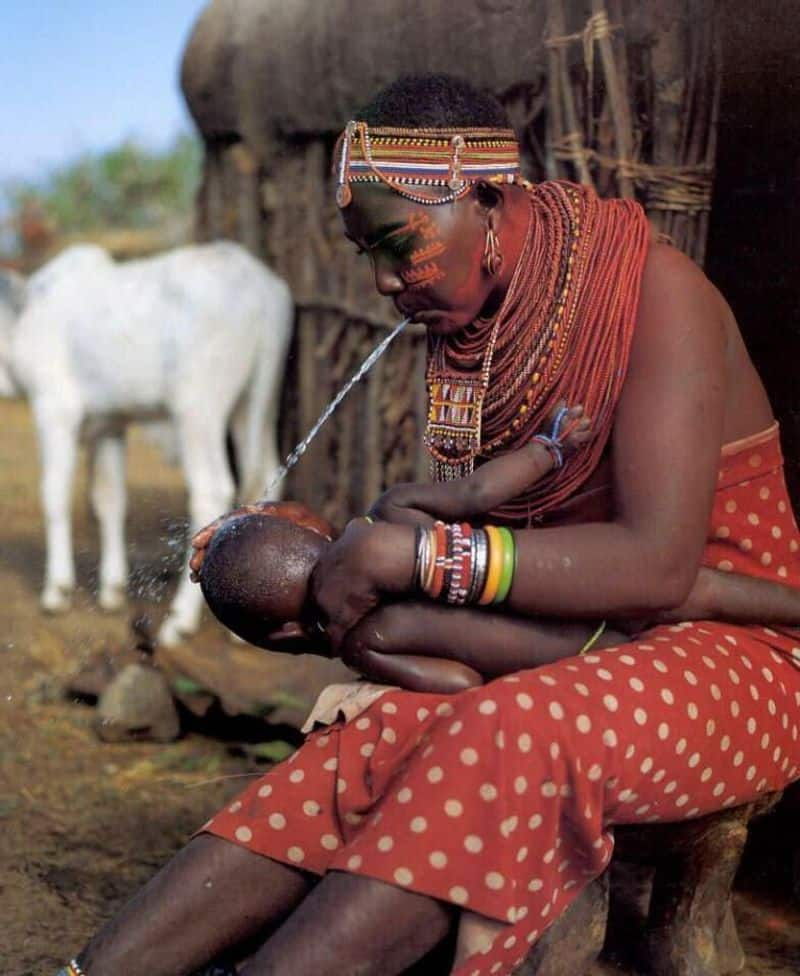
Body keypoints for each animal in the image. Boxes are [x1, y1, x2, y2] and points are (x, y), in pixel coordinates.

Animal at [0, 240, 294, 644]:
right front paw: (111, 590)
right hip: (254, 408)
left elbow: (54, 494)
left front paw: (56, 591)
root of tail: (259, 286)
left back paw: (179, 620)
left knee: (211, 492)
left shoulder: (54, 409)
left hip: (197, 411)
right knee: (268, 472)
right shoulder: (111, 425)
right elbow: (109, 498)